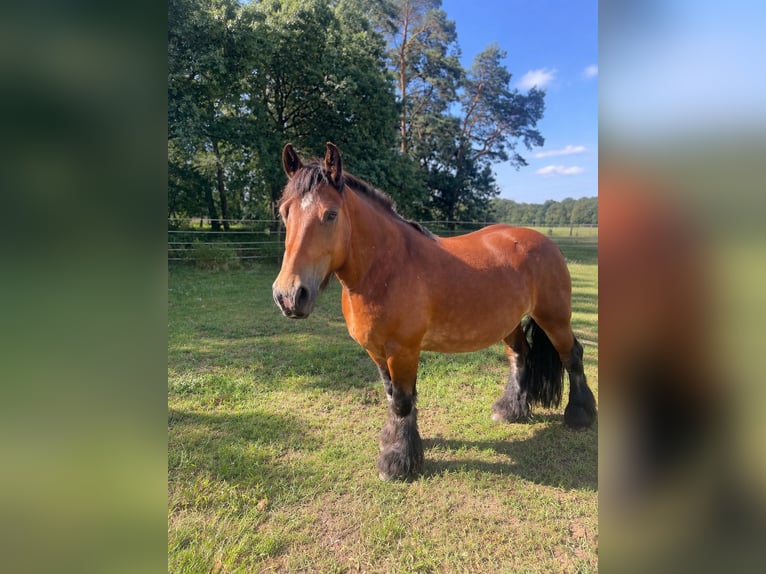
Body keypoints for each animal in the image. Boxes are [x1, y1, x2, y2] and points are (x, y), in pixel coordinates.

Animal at [272, 142, 597, 480]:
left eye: (331, 214)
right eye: (284, 212)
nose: (289, 295)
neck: (387, 268)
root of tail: (544, 241)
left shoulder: (402, 350)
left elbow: (402, 401)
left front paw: (397, 461)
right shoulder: (376, 351)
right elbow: (392, 396)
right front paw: (394, 441)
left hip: (554, 317)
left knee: (572, 356)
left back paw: (580, 414)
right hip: (509, 324)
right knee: (520, 355)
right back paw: (510, 410)